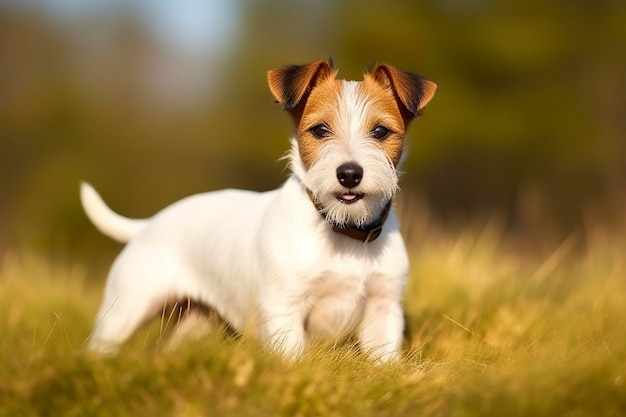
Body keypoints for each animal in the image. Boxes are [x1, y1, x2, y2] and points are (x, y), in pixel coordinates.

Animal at [80, 59, 434, 360]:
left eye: (380, 131)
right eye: (320, 130)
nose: (349, 174)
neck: (343, 231)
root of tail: (149, 224)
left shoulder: (383, 311)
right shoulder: (284, 310)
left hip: (195, 323)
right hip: (127, 309)